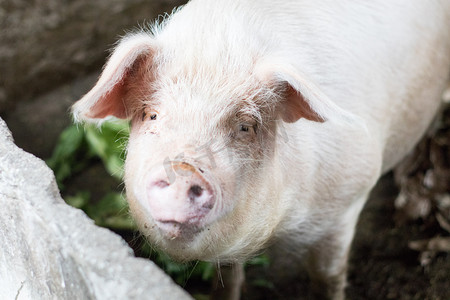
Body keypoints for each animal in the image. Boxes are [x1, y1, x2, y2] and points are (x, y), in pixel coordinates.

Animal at [72, 1, 450, 298]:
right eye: (151, 114)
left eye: (245, 126)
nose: (181, 170)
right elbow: (228, 280)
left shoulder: (350, 196)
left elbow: (328, 276)